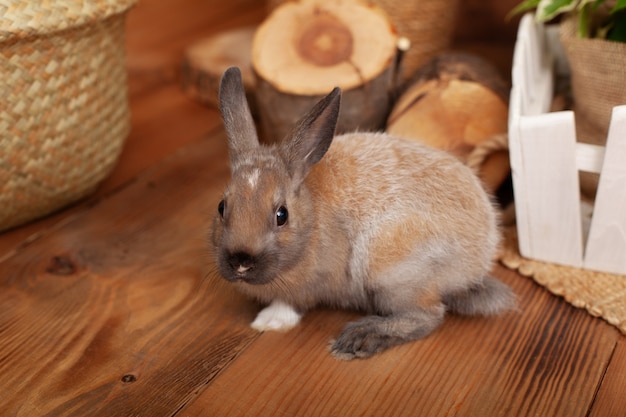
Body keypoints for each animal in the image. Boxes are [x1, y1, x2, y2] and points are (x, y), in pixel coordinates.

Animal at [207, 66, 516, 360]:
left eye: (281, 215)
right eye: (221, 207)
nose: (241, 263)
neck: (311, 220)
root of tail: (480, 259)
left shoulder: (307, 287)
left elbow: (292, 302)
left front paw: (269, 321)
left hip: (390, 272)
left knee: (429, 315)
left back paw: (360, 338)